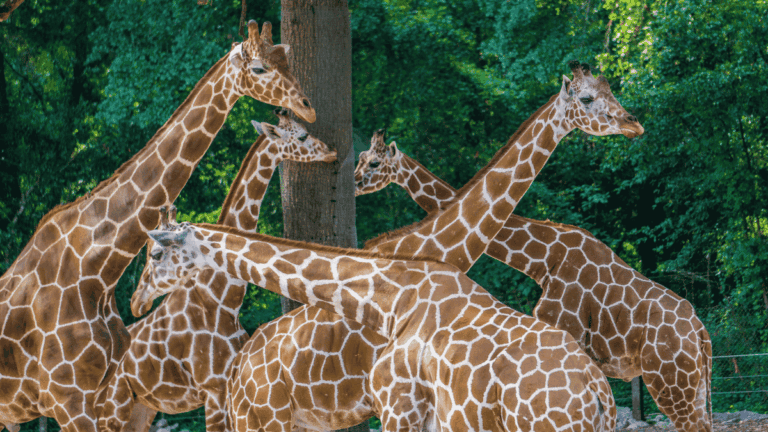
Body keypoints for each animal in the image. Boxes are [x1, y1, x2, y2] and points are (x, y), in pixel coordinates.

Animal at [98, 111, 337, 432]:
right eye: (302, 136)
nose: (331, 152)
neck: (223, 298)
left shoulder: (228, 387)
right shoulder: (212, 390)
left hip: (140, 409)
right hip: (112, 408)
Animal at [354, 130, 713, 432]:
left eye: (374, 162)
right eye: (360, 157)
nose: (355, 182)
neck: (544, 258)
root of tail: (701, 334)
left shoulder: (565, 330)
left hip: (670, 383)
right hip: (696, 386)